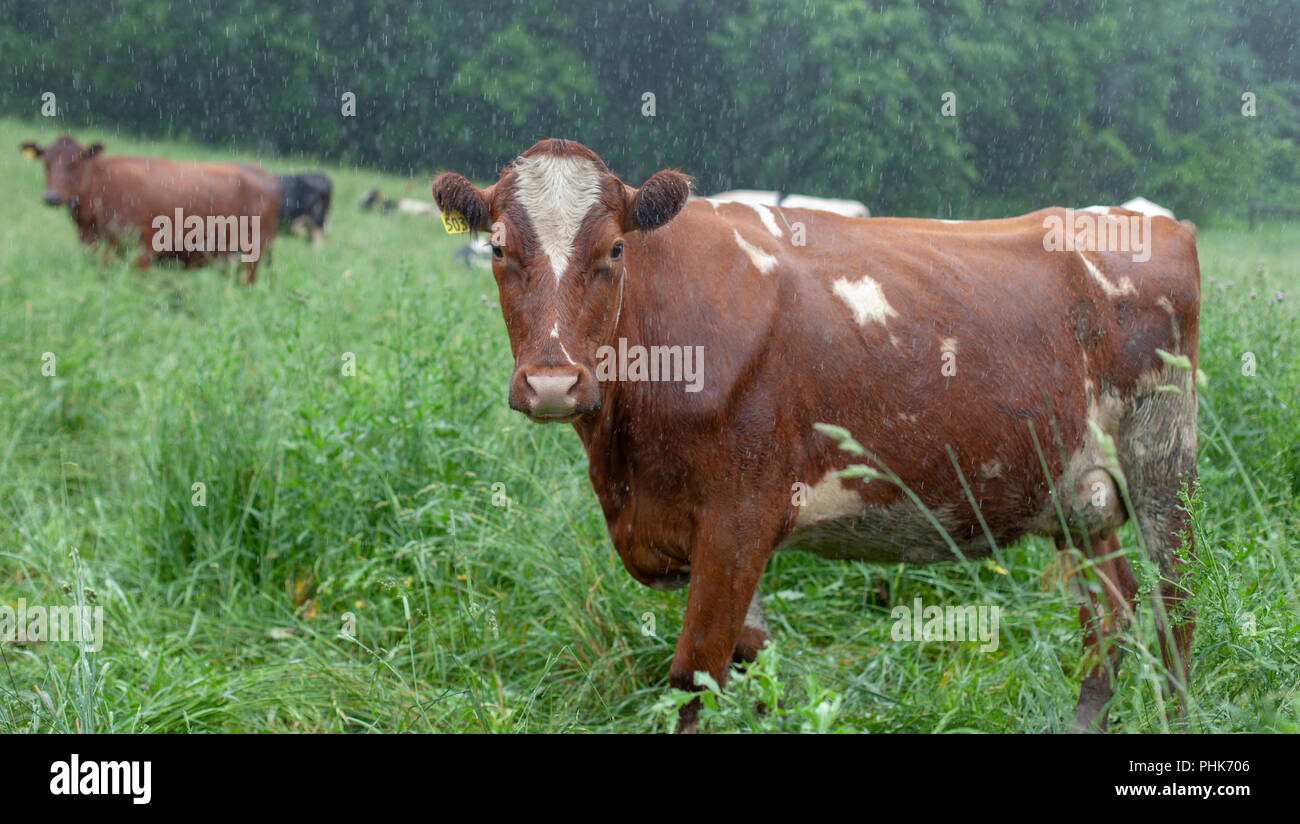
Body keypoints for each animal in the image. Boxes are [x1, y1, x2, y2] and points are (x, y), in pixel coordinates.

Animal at [20, 134, 279, 282]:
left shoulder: (142, 252)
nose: (51, 197)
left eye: (75, 163)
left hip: (251, 255)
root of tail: (263, 173)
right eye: (46, 163)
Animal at [434, 136, 1196, 733]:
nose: (552, 383)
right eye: (497, 248)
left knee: (1174, 606)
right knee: (1111, 614)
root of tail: (1145, 220)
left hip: (1164, 455)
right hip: (1078, 494)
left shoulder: (740, 517)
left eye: (616, 248)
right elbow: (757, 672)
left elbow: (695, 677)